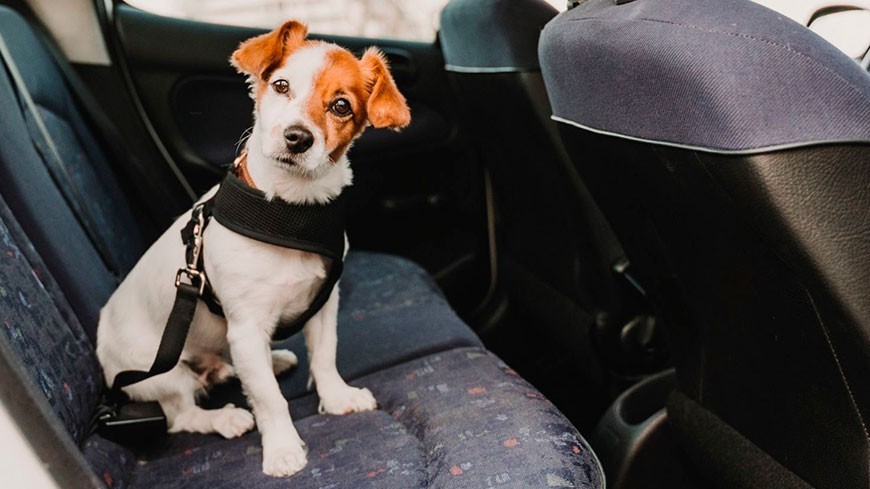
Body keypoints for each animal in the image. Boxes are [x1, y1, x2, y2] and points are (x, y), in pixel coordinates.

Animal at [95, 21, 412, 474]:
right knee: (182, 414)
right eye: (280, 85)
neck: (289, 213)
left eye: (341, 106)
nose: (297, 137)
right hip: (159, 372)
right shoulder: (245, 327)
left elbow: (325, 355)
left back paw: (264, 363)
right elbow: (268, 399)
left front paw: (336, 397)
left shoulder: (323, 305)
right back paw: (224, 417)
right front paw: (282, 448)